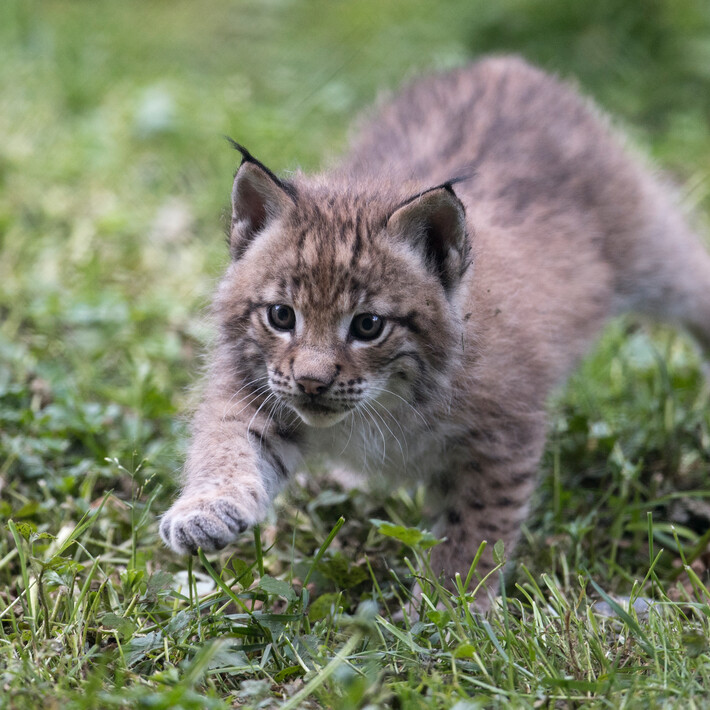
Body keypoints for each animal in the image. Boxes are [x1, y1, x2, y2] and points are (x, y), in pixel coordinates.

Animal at [161, 57, 710, 600]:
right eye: (280, 316)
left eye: (368, 326)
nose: (312, 383)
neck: (386, 400)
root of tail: (503, 64)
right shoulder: (256, 383)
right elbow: (226, 440)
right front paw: (205, 510)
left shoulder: (503, 434)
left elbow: (476, 526)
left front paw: (451, 603)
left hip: (651, 246)